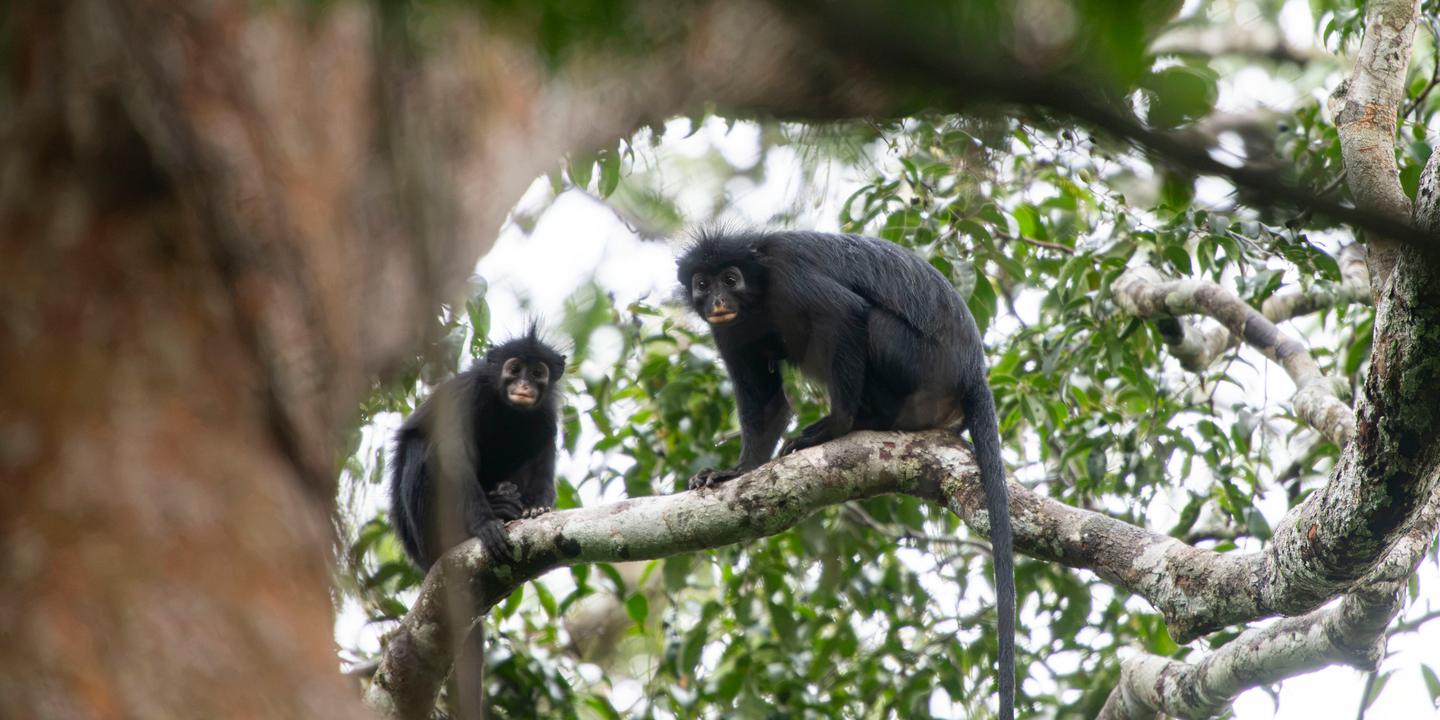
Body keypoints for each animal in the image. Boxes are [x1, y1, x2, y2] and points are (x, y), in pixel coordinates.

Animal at [389, 325, 565, 720]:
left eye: (538, 373)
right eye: (514, 369)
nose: (524, 386)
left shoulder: (546, 415)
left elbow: (543, 452)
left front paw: (536, 510)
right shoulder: (465, 395)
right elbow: (452, 455)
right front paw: (485, 526)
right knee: (423, 448)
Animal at [677, 230, 1016, 720]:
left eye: (731, 278)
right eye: (703, 284)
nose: (719, 299)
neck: (758, 294)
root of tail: (973, 370)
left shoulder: (789, 276)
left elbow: (845, 314)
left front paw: (835, 426)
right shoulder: (729, 327)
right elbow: (766, 403)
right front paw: (735, 471)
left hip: (918, 363)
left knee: (867, 320)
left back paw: (862, 421)